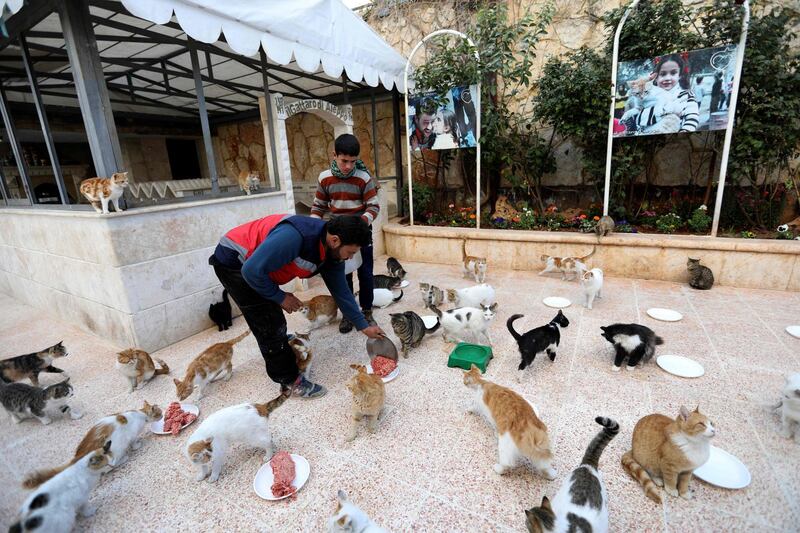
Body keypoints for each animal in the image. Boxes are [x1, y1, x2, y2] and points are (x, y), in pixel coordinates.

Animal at [22, 400, 162, 490]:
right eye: (159, 413)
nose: (162, 416)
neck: (141, 414)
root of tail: (78, 456)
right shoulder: (131, 435)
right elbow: (133, 442)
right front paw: (137, 445)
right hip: (114, 450)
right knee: (109, 467)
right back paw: (123, 459)